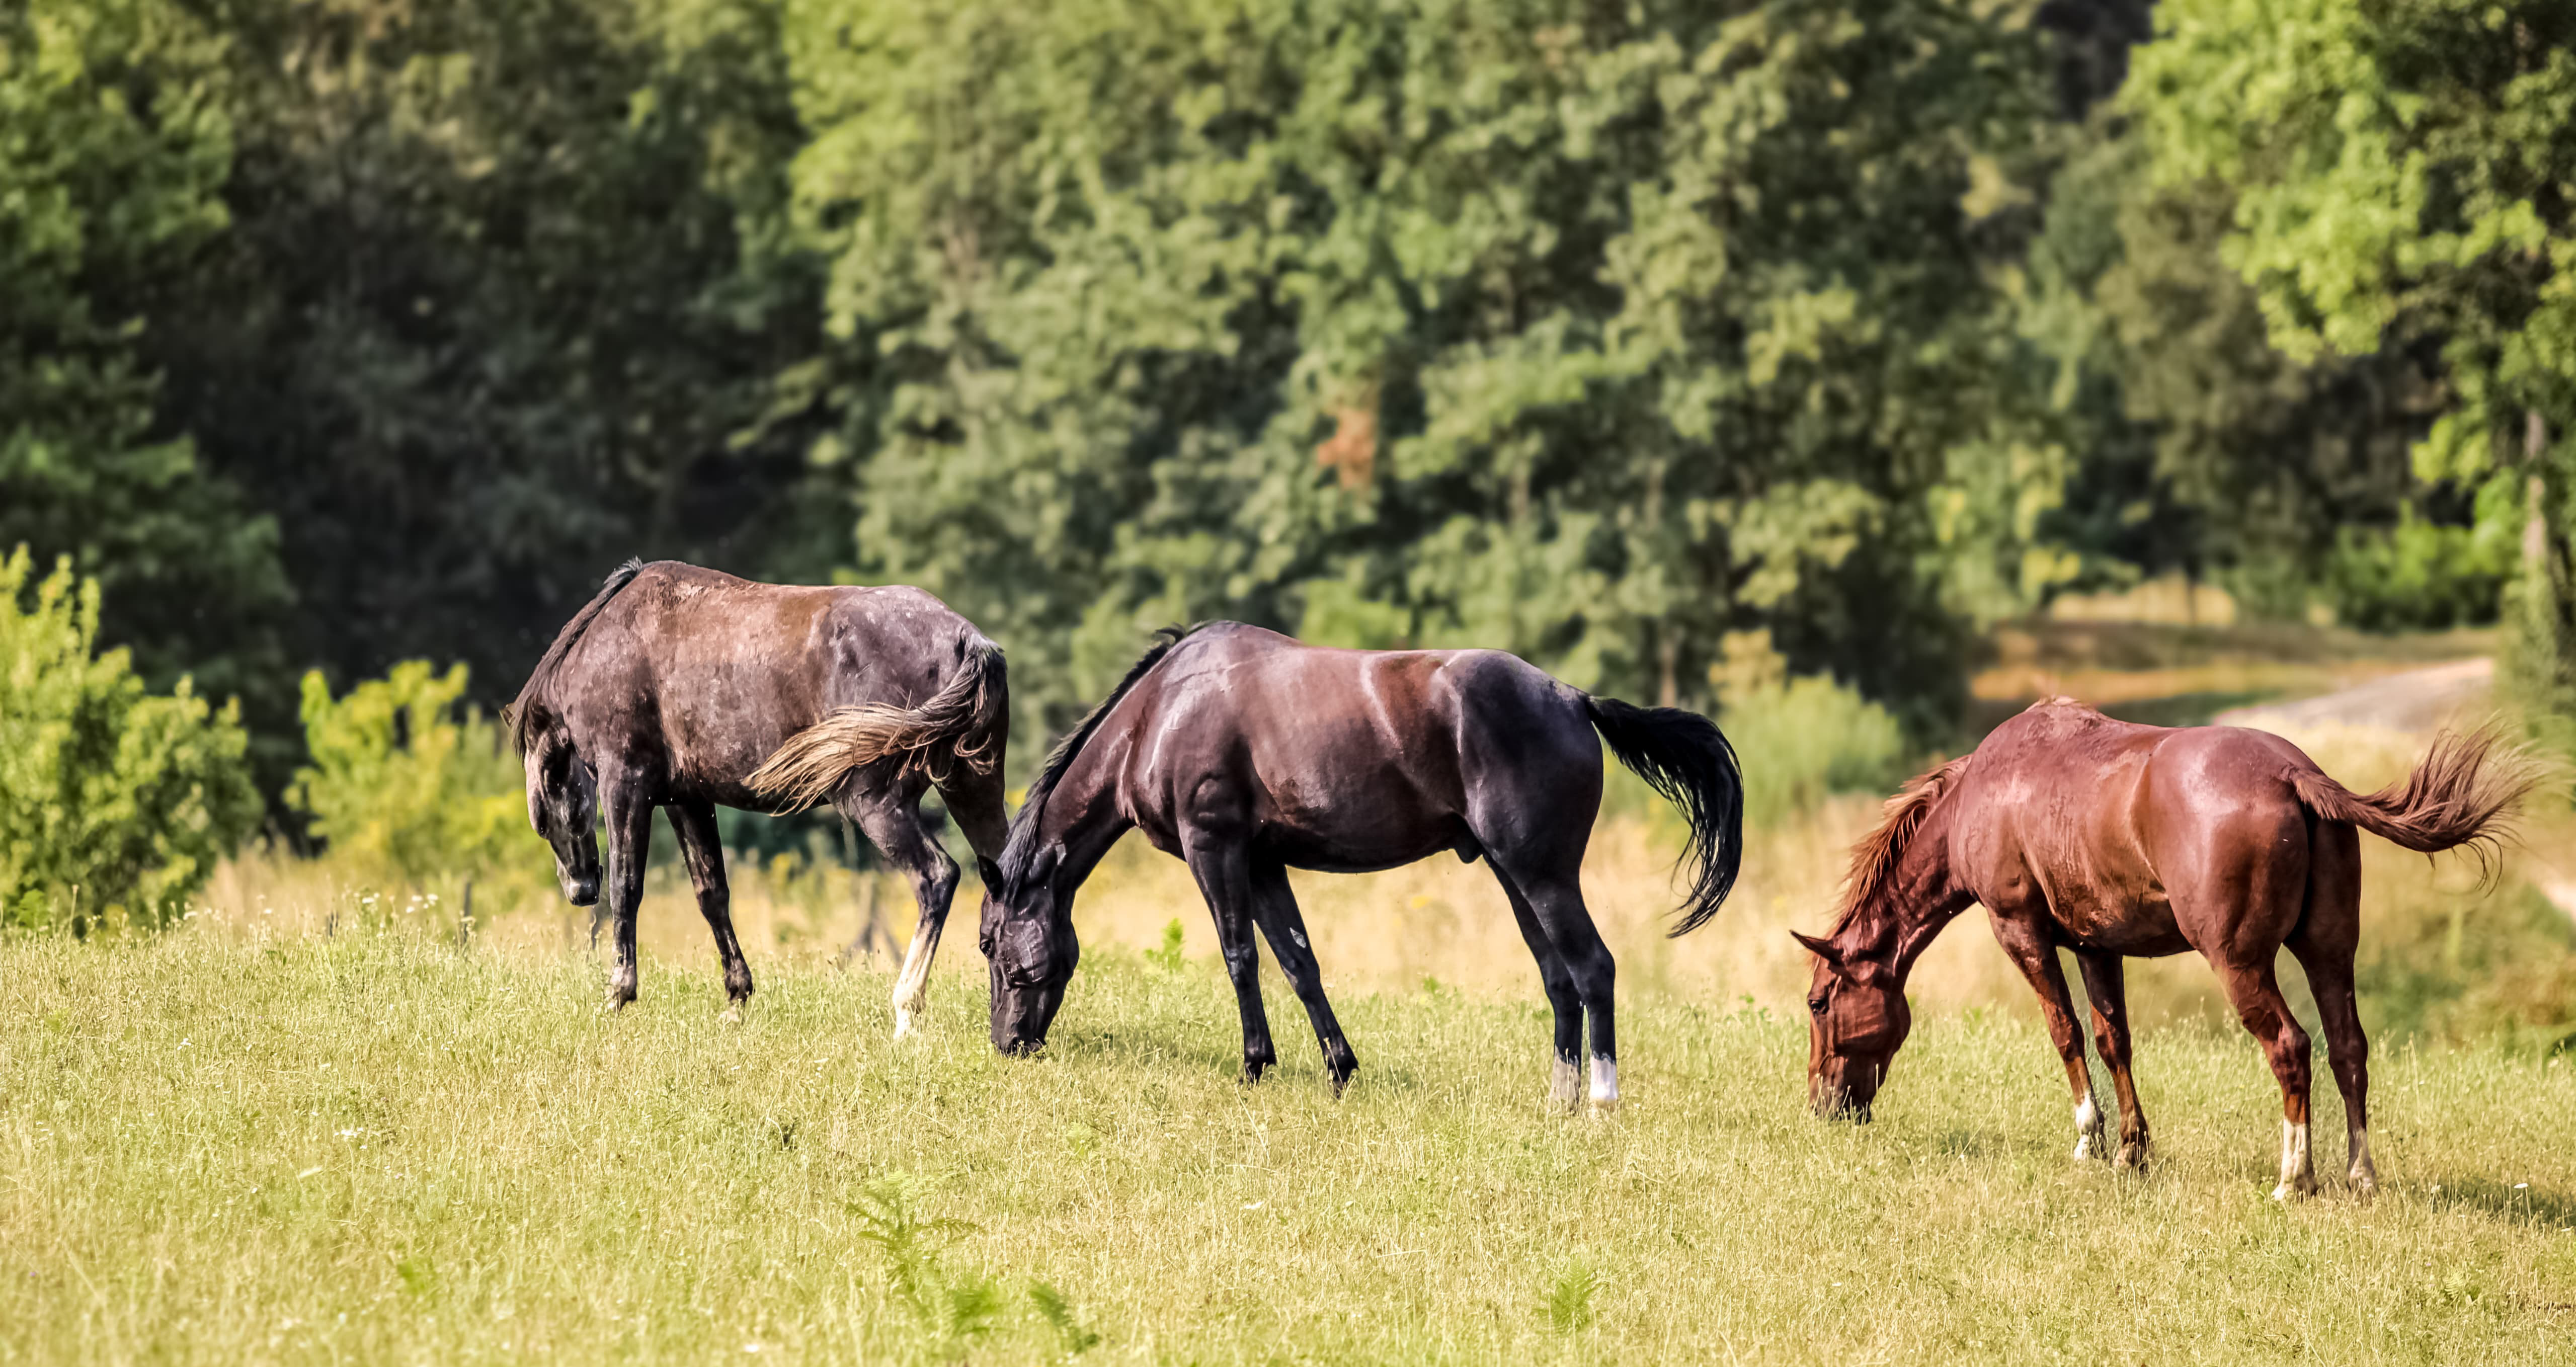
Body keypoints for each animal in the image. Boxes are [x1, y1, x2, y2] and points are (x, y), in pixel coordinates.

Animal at [505, 560, 1010, 1034]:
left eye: (543, 821)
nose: (580, 890)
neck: (614, 642)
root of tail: (967, 638)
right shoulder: (687, 800)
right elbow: (712, 894)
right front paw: (736, 997)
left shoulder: (624, 785)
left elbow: (626, 889)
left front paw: (618, 993)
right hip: (973, 792)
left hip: (878, 806)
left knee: (937, 877)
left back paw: (907, 1009)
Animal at [975, 622, 1744, 1109]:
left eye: (988, 943)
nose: (1008, 1042)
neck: (1162, 711)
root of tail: (1574, 700)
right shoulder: (1265, 863)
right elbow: (1298, 962)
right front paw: (1339, 1069)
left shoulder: (1214, 847)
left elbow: (1239, 956)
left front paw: (1254, 1066)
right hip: (1514, 876)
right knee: (1557, 977)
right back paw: (1558, 1100)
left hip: (1543, 873)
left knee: (1593, 968)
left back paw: (1601, 1100)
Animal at [1798, 697, 2535, 1199]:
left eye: (1817, 1002)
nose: (1821, 1106)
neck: (1986, 789)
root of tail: (2293, 773)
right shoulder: (2095, 943)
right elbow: (2112, 1039)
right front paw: (2133, 1149)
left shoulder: (2022, 932)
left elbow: (2065, 1032)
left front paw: (2090, 1139)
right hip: (2329, 952)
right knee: (2347, 1048)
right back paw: (2359, 1174)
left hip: (2239, 963)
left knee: (2291, 1047)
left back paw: (2293, 1177)